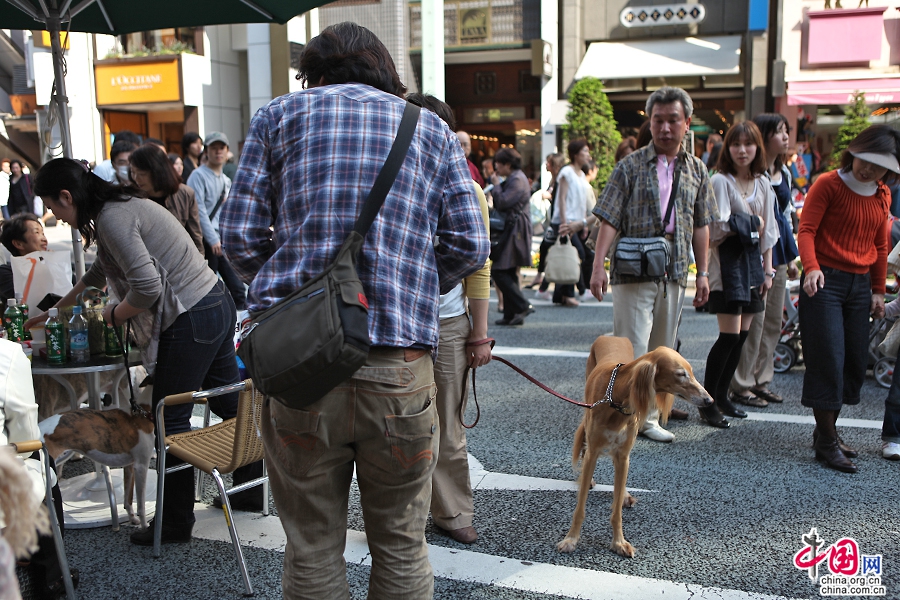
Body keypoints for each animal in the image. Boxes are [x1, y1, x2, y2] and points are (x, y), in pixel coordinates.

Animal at [556, 338, 712, 556]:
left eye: (691, 371)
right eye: (681, 374)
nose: (709, 400)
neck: (616, 398)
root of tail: (611, 337)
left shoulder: (623, 455)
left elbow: (617, 510)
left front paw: (619, 542)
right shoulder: (594, 452)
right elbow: (580, 507)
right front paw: (571, 539)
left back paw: (625, 495)